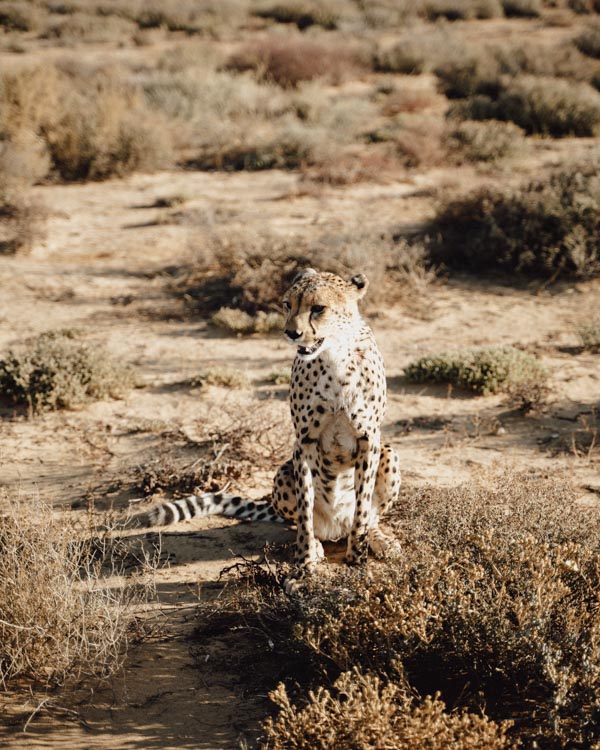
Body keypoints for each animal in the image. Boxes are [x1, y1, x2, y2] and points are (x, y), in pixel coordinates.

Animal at [134, 270, 400, 592]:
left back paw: (380, 540)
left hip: (388, 452)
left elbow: (362, 513)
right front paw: (304, 567)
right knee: (306, 523)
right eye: (287, 304)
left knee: (368, 518)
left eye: (318, 308)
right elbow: (305, 513)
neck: (334, 354)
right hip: (284, 471)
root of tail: (336, 526)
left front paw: (358, 565)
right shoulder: (303, 443)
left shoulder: (368, 440)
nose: (291, 333)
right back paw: (317, 545)